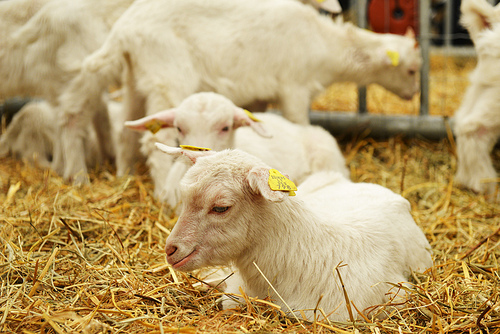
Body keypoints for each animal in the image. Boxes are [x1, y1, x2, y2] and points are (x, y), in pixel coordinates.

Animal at [55, 0, 422, 183]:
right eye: (412, 70)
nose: (413, 96)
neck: (326, 44)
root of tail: (123, 32)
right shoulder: (294, 87)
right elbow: (299, 123)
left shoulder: (260, 93)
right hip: (168, 76)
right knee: (152, 139)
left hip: (137, 78)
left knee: (127, 130)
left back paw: (123, 177)